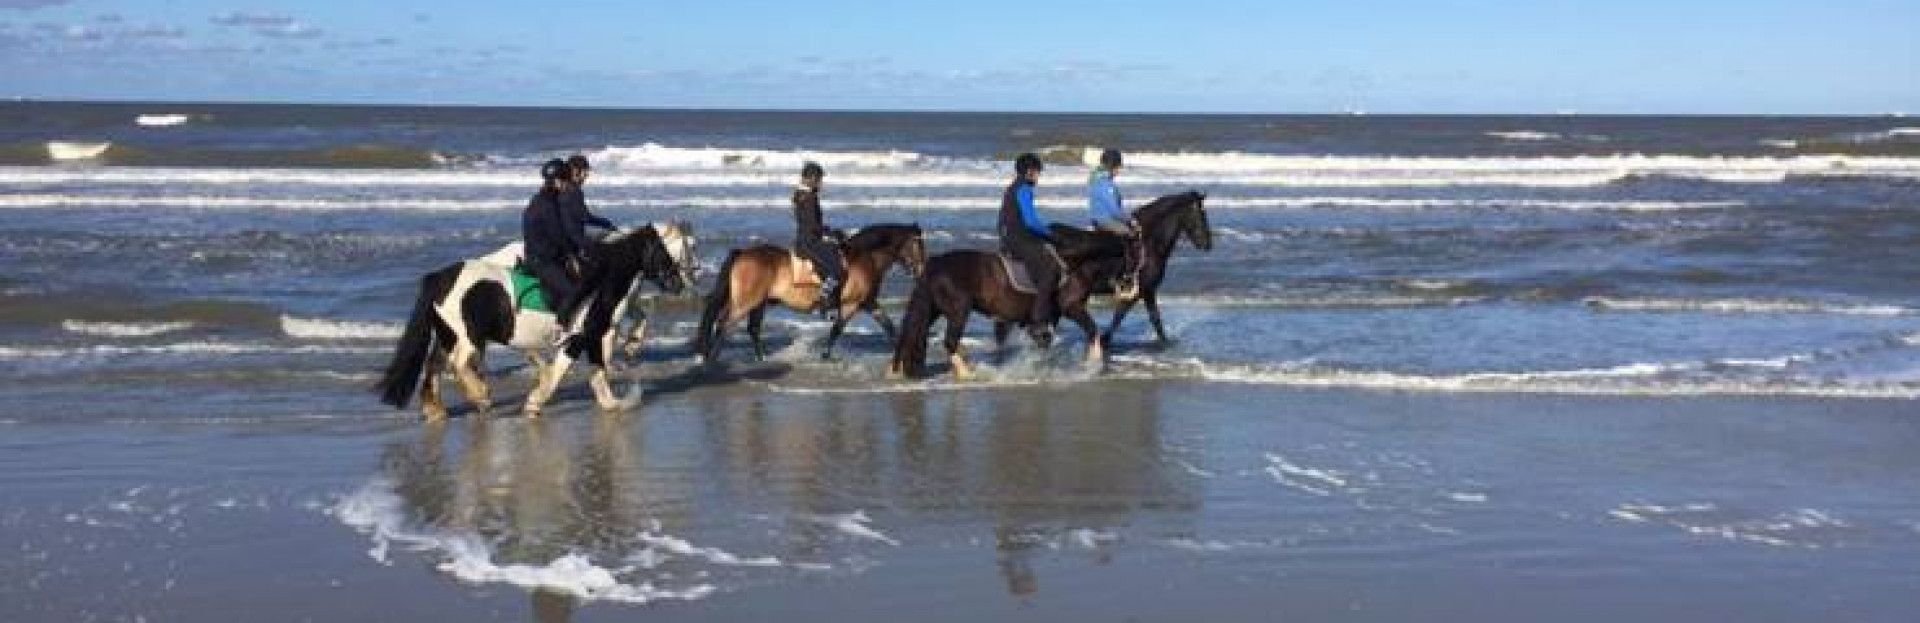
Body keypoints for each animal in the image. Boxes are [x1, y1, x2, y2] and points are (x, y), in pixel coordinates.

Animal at [370, 221, 695, 421]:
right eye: (665, 251)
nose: (681, 282)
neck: (601, 276)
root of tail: (440, 277)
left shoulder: (597, 334)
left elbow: (599, 372)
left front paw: (614, 401)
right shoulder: (580, 337)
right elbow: (560, 373)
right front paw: (534, 402)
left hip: (449, 335)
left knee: (435, 365)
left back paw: (436, 410)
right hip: (467, 337)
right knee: (459, 363)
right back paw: (481, 396)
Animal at [695, 223, 925, 359]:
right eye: (917, 245)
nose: (921, 271)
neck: (864, 258)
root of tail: (743, 253)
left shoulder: (868, 302)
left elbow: (889, 326)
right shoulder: (851, 304)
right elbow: (837, 329)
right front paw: (825, 355)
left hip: (756, 302)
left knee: (751, 328)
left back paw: (760, 357)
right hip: (746, 302)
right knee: (724, 324)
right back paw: (713, 358)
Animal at [887, 224, 1136, 378]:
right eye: (1132, 256)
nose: (1131, 288)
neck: (1074, 262)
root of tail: (935, 264)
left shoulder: (1052, 316)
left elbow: (1045, 342)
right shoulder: (1072, 307)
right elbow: (1092, 330)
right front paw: (1093, 363)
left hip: (933, 309)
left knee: (911, 334)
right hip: (959, 311)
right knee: (949, 341)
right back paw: (967, 374)